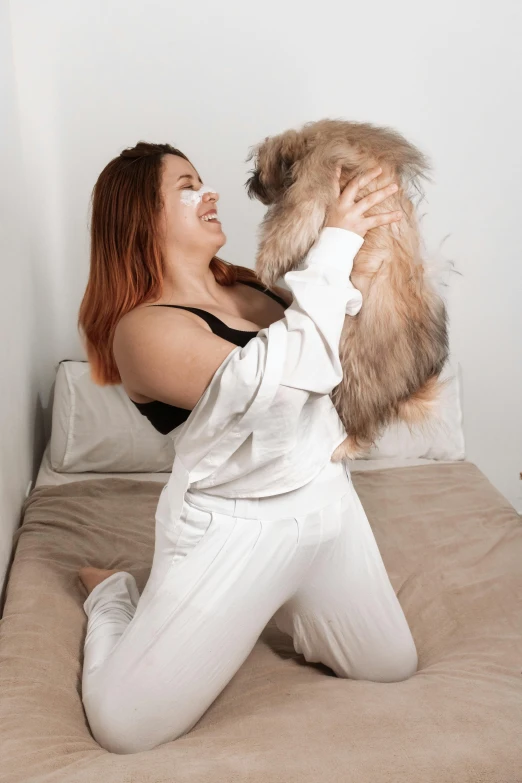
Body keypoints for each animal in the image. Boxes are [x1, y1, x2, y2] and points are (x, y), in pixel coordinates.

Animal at [246, 116, 448, 460]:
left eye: (258, 169)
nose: (250, 184)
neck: (308, 145)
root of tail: (409, 389)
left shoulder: (314, 182)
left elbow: (288, 227)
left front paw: (265, 265)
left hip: (353, 368)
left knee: (362, 424)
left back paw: (345, 447)